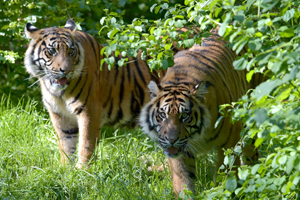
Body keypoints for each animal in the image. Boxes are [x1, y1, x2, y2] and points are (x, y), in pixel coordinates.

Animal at [24, 19, 172, 168]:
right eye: (52, 51)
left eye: (71, 51)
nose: (66, 70)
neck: (58, 92)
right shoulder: (59, 114)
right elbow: (66, 144)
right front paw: (65, 168)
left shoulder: (89, 110)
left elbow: (86, 143)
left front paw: (82, 170)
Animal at [139, 28, 264, 195]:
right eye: (162, 115)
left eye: (184, 116)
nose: (171, 139)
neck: (197, 136)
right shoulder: (179, 153)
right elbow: (182, 181)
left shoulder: (230, 140)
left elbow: (225, 173)